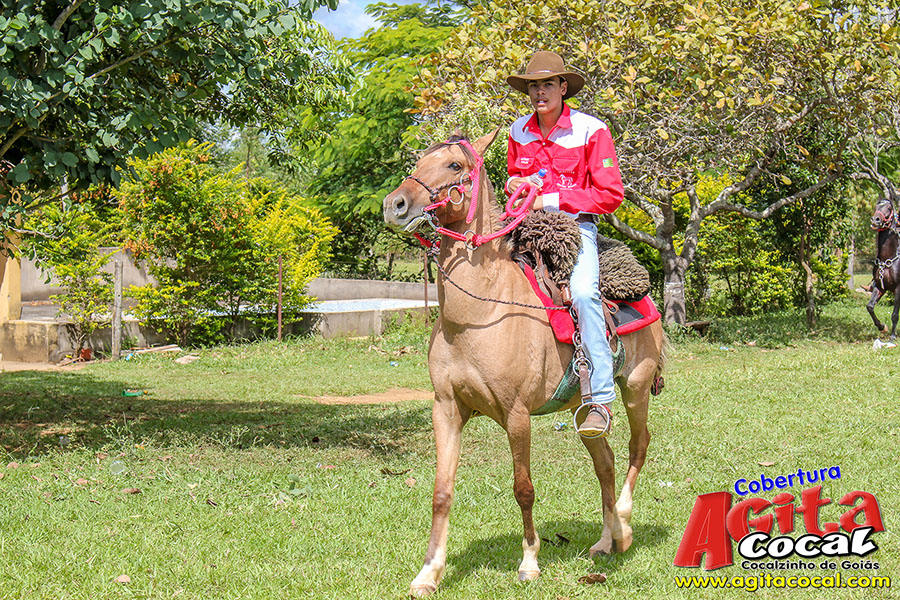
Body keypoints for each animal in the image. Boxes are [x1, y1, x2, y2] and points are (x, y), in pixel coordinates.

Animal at [382, 129, 666, 597]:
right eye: (419, 160)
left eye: (455, 165)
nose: (395, 205)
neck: (478, 313)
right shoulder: (446, 409)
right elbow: (442, 492)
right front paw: (428, 573)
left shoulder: (516, 415)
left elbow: (523, 489)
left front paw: (529, 562)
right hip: (585, 409)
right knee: (605, 460)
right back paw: (605, 541)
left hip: (636, 389)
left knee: (636, 447)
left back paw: (623, 526)